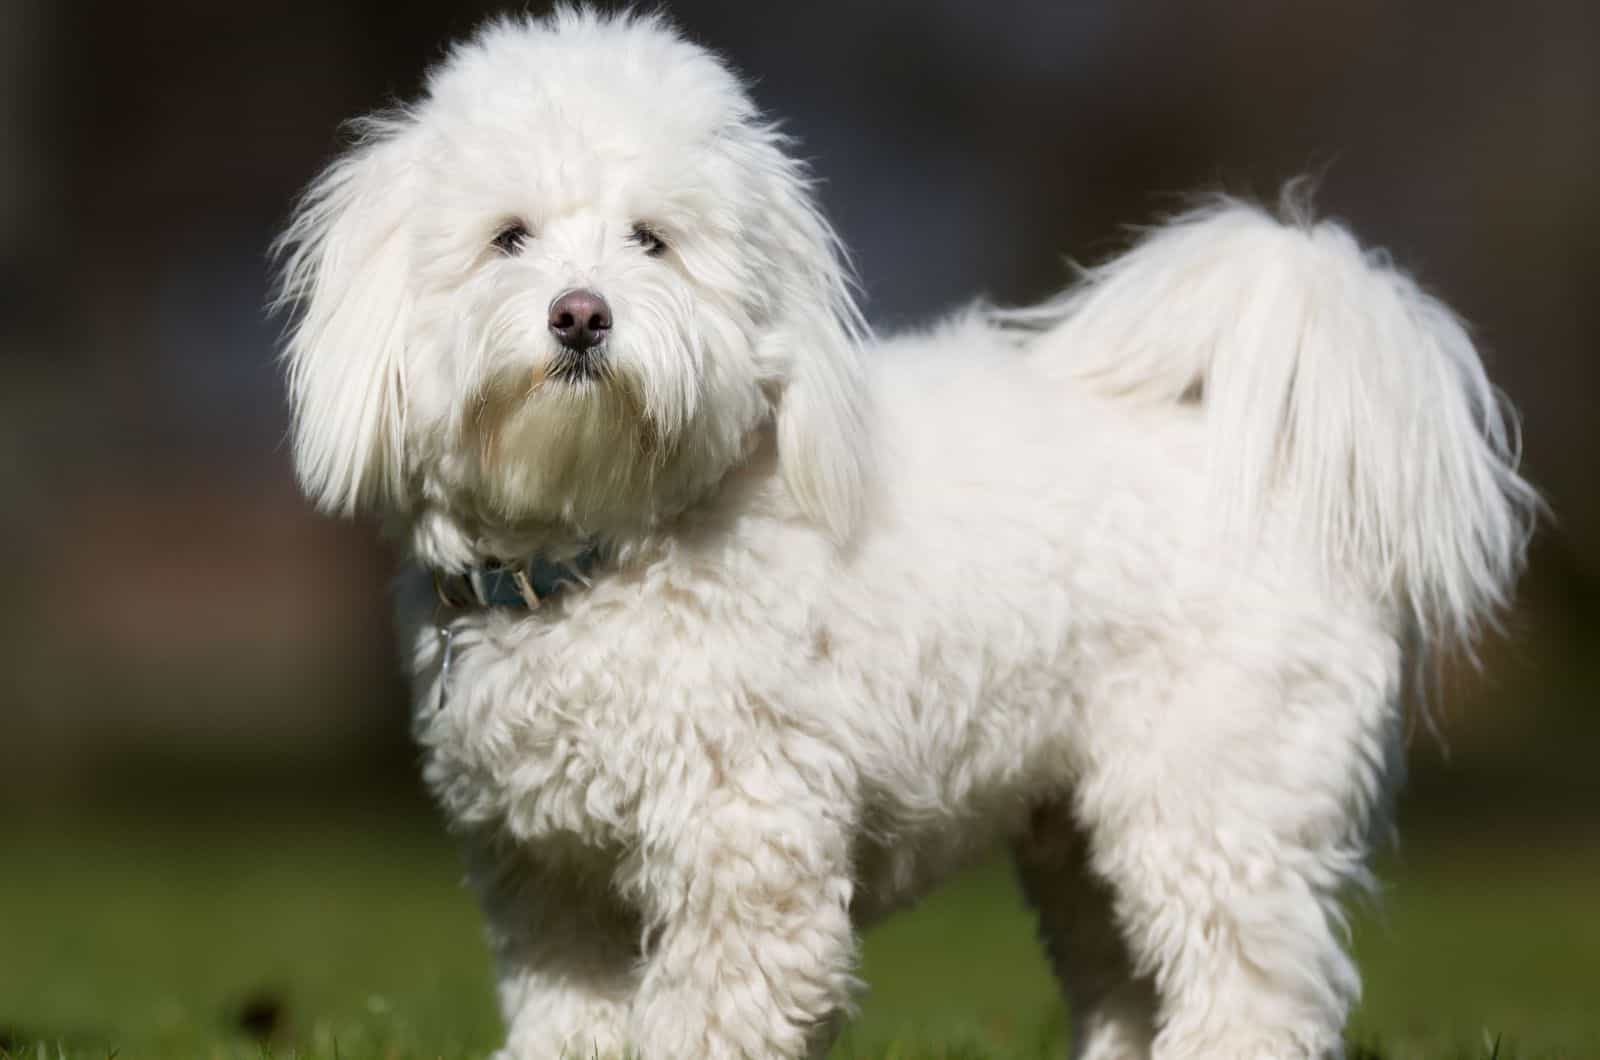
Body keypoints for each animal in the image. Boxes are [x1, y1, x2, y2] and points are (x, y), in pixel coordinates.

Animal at [278, 10, 1536, 1060]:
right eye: (508, 238)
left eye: (651, 241)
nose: (579, 314)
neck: (608, 548)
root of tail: (1274, 463)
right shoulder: (552, 882)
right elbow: (568, 1020)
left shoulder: (746, 854)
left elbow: (712, 1013)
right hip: (1078, 837)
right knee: (1130, 980)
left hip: (1213, 797)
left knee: (1251, 992)